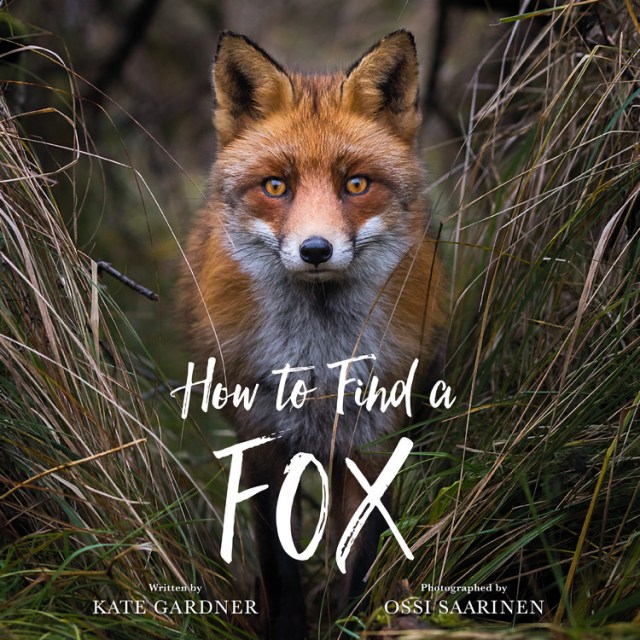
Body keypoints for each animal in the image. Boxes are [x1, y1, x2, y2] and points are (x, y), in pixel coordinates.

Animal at [179, 30, 448, 640]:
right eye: (276, 186)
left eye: (356, 184)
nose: (316, 250)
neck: (319, 364)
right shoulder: (261, 440)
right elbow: (280, 567)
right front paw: (290, 628)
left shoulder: (373, 441)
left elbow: (359, 558)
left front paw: (349, 622)